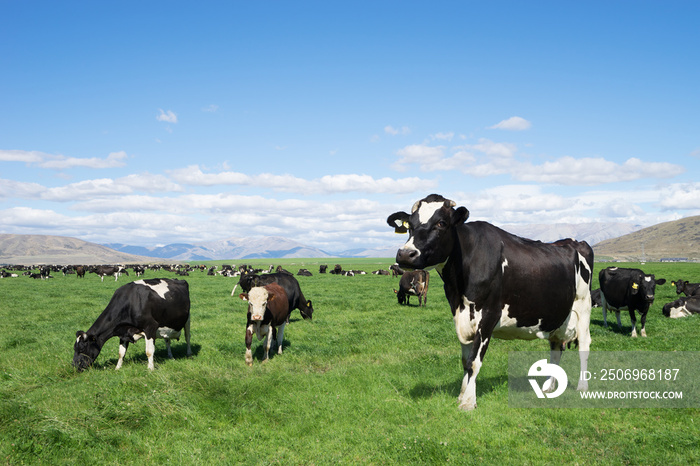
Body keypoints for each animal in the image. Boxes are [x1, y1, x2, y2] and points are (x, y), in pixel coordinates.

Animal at [386, 195, 592, 410]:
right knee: (556, 347)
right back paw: (549, 387)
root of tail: (571, 242)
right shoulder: (460, 315)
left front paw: (468, 402)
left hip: (583, 306)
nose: (405, 254)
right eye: (410, 225)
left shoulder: (488, 316)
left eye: (441, 223)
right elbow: (465, 360)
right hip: (558, 314)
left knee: (584, 345)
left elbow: (473, 362)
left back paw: (582, 386)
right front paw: (462, 395)